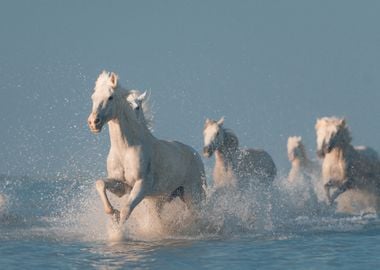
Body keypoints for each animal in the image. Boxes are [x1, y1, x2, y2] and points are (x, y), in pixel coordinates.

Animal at [87, 70, 206, 225]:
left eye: (110, 97)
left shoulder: (142, 185)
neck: (126, 148)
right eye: (93, 97)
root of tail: (195, 154)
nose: (93, 122)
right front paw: (112, 212)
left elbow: (126, 210)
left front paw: (119, 226)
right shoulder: (122, 186)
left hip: (193, 194)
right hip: (161, 199)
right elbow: (100, 183)